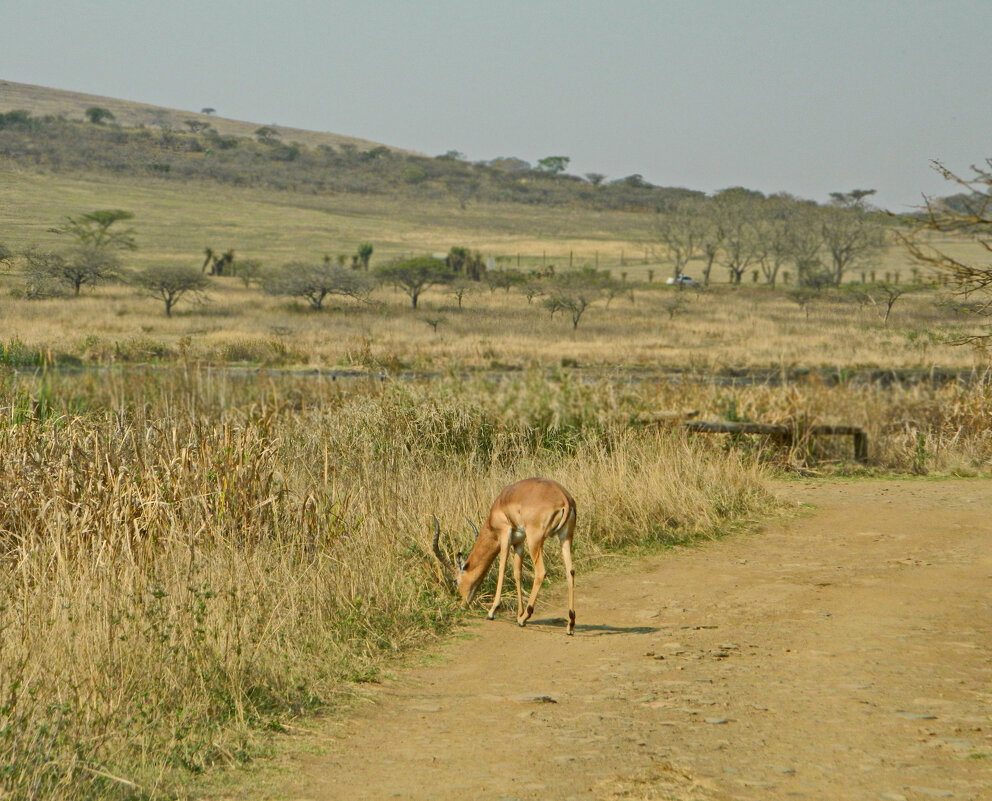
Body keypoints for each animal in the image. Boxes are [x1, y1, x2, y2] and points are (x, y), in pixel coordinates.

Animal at [430, 476, 576, 636]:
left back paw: (524, 618)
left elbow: (502, 568)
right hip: (565, 538)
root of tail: (564, 498)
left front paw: (492, 612)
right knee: (570, 572)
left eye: (455, 580)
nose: (463, 604)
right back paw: (570, 624)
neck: (499, 506)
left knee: (541, 572)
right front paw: (518, 613)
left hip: (535, 540)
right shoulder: (519, 542)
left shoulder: (504, 535)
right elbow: (517, 573)